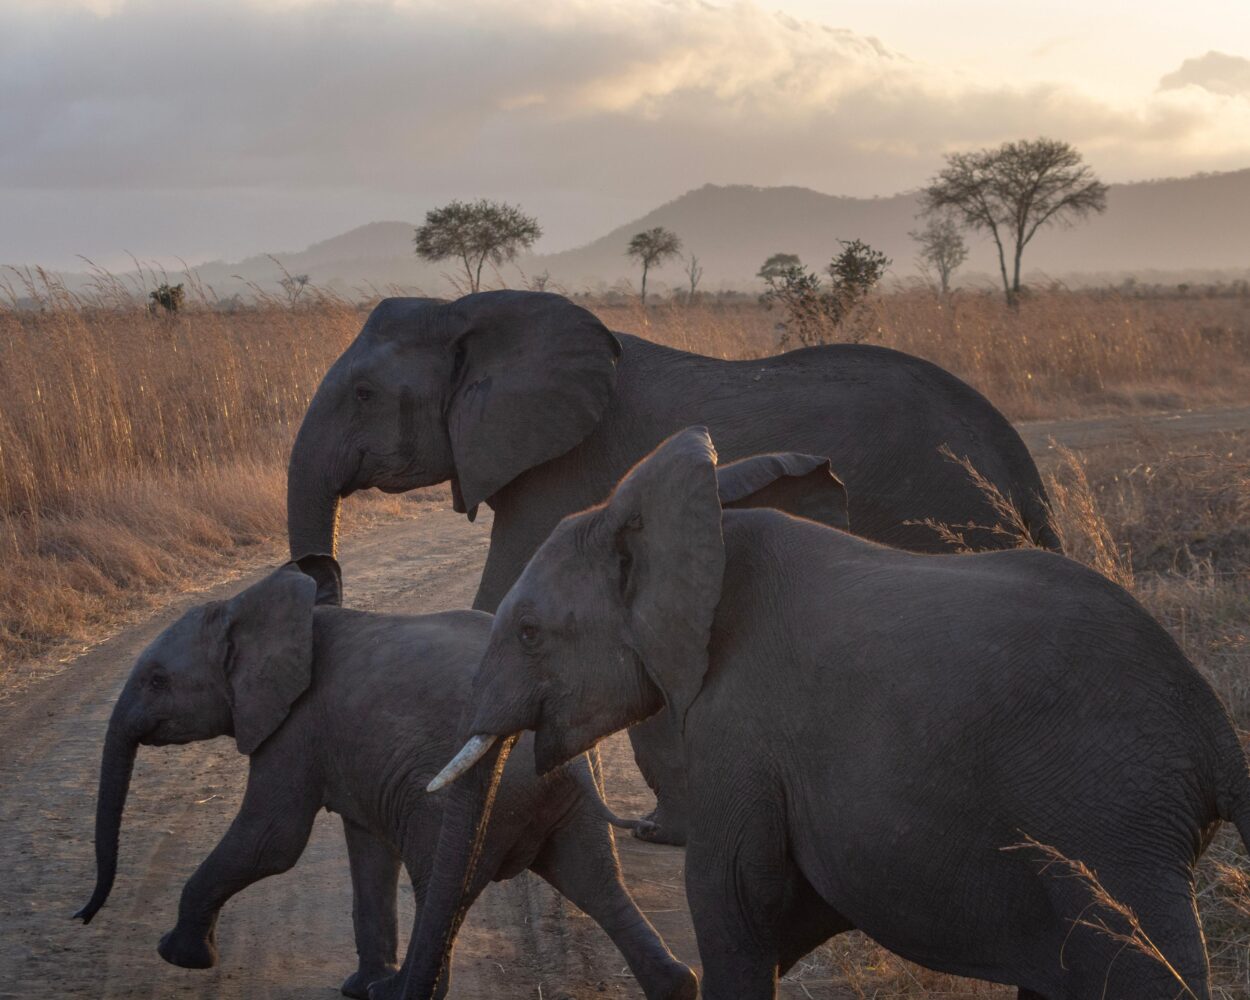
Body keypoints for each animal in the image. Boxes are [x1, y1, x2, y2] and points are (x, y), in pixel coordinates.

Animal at [75, 555, 705, 1000]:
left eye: (157, 681)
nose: (82, 915)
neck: (253, 607)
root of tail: (568, 753)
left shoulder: (296, 727)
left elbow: (272, 840)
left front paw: (178, 955)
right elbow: (367, 849)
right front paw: (360, 988)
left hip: (468, 801)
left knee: (445, 884)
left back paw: (402, 993)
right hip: (565, 800)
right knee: (595, 881)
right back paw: (677, 986)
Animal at [287, 288, 1060, 845]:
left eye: (363, 394)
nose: (321, 573)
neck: (473, 310)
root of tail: (1020, 465)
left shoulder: (563, 467)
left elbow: (497, 596)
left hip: (944, 512)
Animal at [425, 430, 1250, 1000]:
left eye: (529, 632)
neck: (703, 534)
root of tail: (1213, 726)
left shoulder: (738, 728)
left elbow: (734, 901)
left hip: (1111, 819)